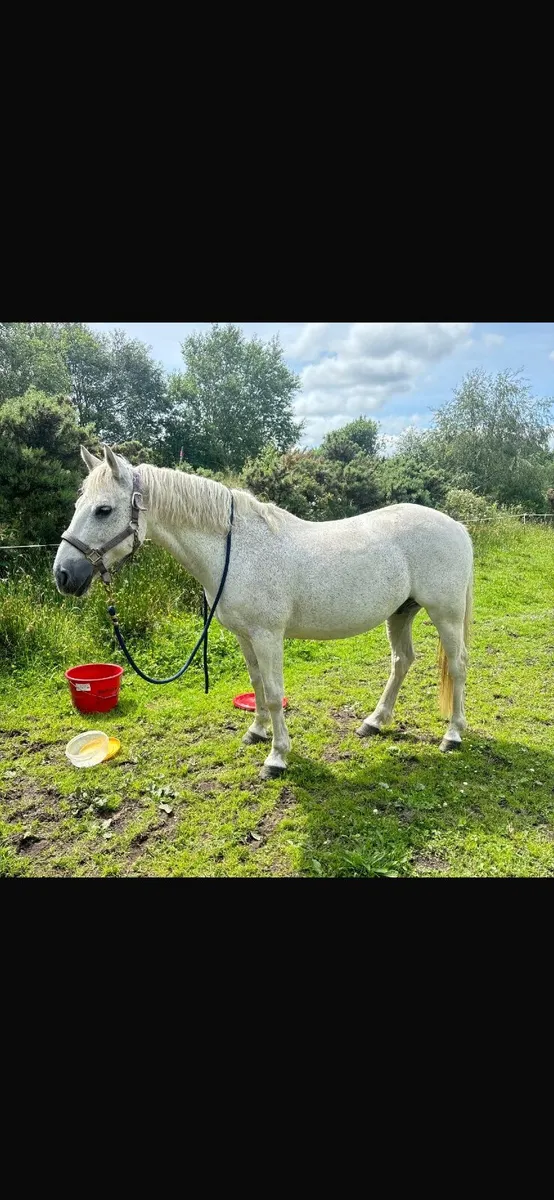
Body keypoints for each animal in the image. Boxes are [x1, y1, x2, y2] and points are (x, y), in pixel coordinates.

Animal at [53, 446, 474, 780]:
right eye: (77, 506)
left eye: (103, 510)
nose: (63, 575)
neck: (236, 549)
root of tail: (456, 525)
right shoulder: (245, 636)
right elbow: (256, 685)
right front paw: (256, 733)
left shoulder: (268, 636)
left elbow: (272, 693)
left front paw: (277, 757)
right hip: (401, 612)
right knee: (402, 661)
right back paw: (374, 722)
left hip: (446, 613)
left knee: (457, 666)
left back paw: (452, 735)